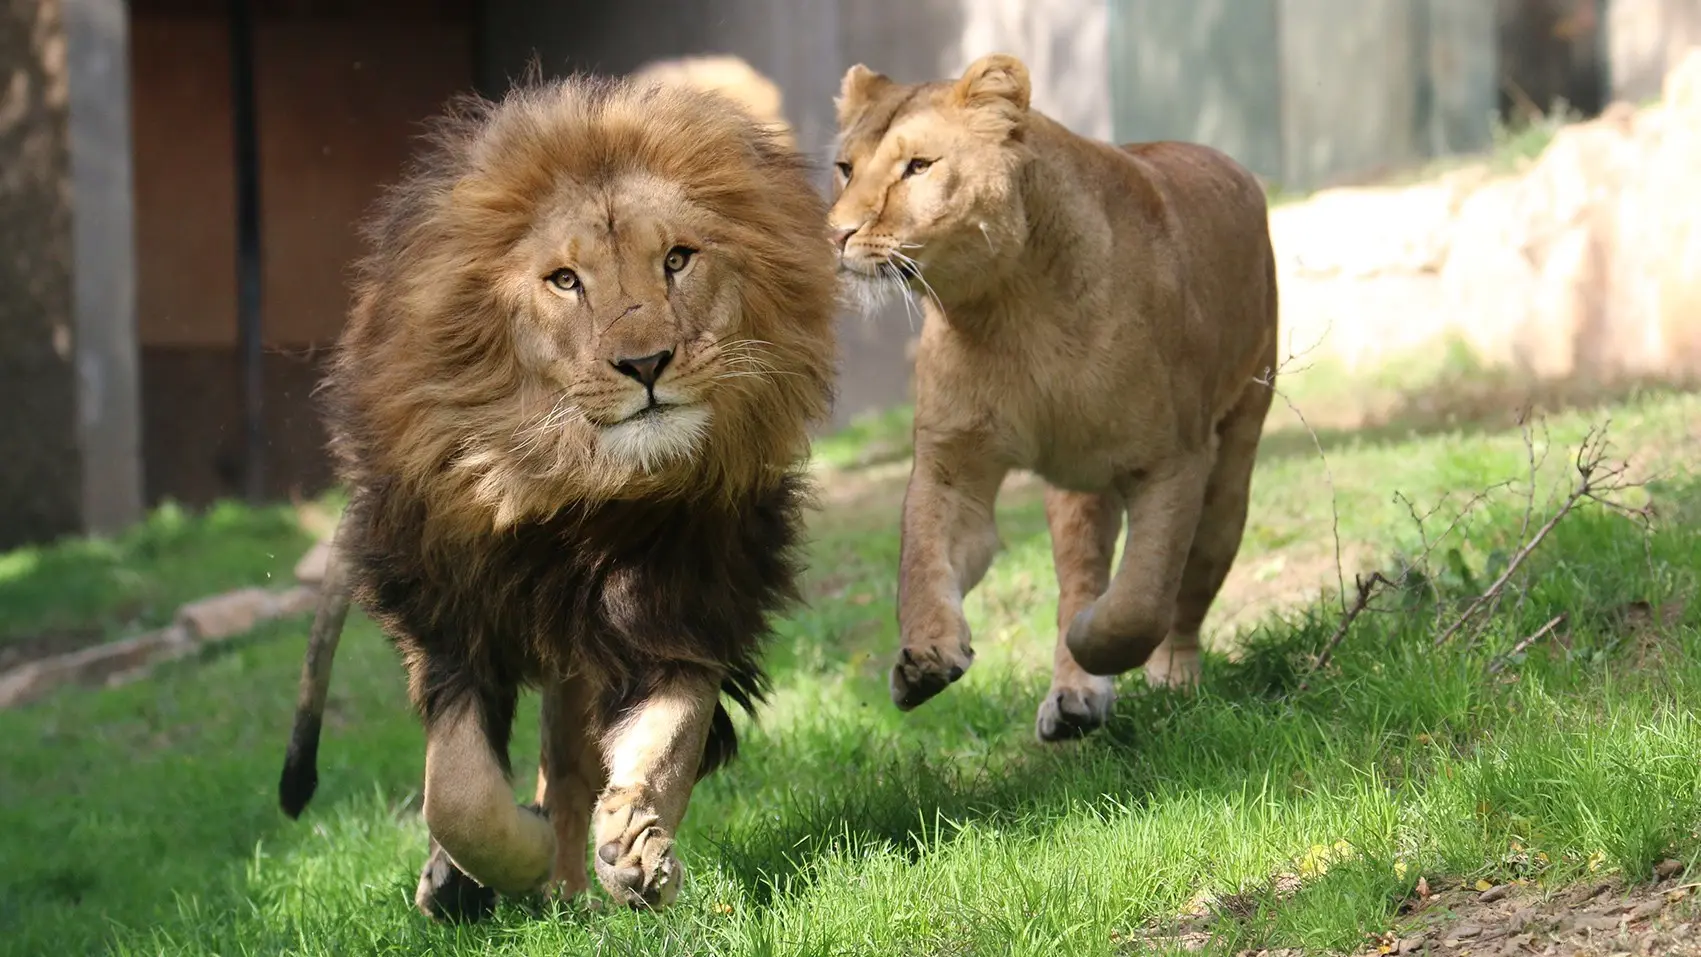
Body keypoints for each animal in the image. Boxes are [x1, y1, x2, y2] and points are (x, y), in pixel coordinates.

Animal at [274, 72, 837, 920]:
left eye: (676, 259)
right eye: (565, 281)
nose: (646, 364)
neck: (581, 496)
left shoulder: (684, 604)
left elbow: (665, 741)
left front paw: (636, 849)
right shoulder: (451, 620)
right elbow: (459, 792)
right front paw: (504, 856)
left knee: (571, 764)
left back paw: (574, 884)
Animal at [827, 54, 1278, 742]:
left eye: (919, 167)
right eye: (846, 168)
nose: (837, 234)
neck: (1011, 308)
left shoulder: (1173, 460)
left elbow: (1142, 598)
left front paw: (1098, 642)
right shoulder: (954, 464)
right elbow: (922, 563)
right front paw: (925, 657)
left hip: (1231, 466)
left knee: (1189, 588)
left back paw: (1169, 675)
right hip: (1076, 489)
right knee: (1080, 574)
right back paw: (1074, 696)